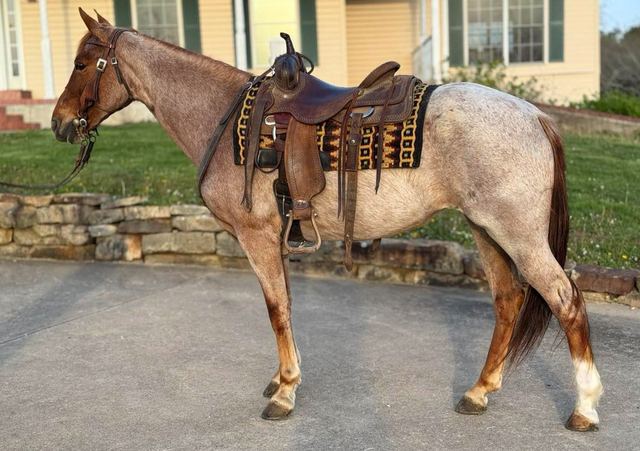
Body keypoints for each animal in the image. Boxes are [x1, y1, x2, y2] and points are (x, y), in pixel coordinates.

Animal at [50, 9, 602, 432]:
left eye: (81, 63)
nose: (58, 123)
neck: (224, 119)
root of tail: (535, 115)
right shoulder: (276, 239)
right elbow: (287, 306)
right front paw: (282, 379)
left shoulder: (257, 236)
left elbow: (276, 309)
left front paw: (285, 394)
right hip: (485, 230)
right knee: (508, 300)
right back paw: (479, 391)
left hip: (518, 235)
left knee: (566, 301)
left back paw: (585, 408)